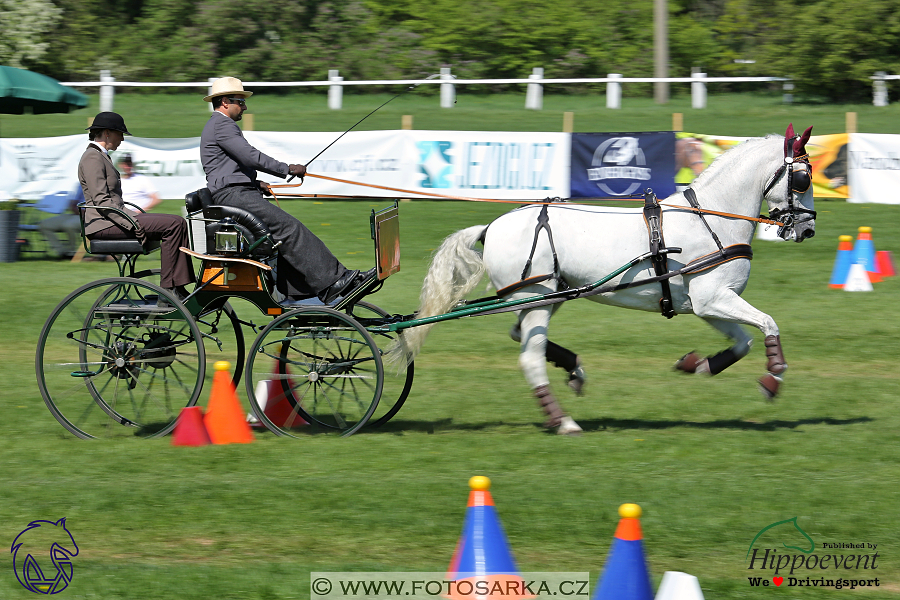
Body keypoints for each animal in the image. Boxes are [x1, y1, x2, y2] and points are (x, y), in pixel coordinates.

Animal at [390, 124, 820, 434]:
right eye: (802, 178)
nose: (807, 229)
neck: (711, 217)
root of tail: (492, 226)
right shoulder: (713, 297)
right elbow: (769, 324)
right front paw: (774, 377)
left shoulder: (707, 304)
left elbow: (744, 342)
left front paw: (699, 365)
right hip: (537, 297)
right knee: (530, 357)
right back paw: (562, 421)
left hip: (547, 296)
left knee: (521, 336)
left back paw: (573, 369)